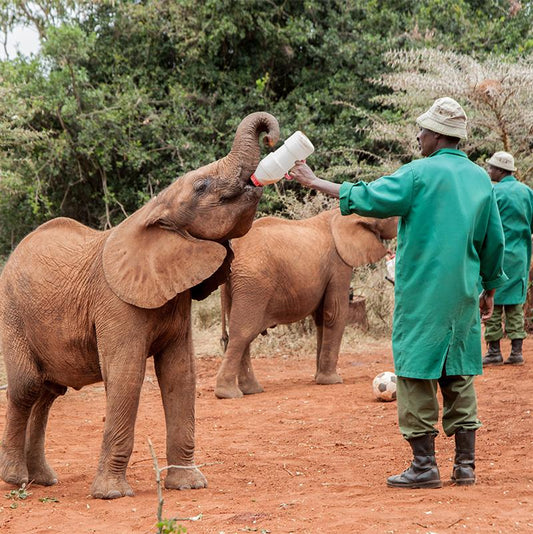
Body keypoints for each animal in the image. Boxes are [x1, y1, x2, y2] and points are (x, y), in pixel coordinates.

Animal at [214, 207, 396, 400]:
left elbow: (321, 318)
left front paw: (318, 378)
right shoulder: (339, 263)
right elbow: (335, 313)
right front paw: (332, 381)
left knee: (242, 334)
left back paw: (251, 390)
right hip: (253, 285)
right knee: (243, 333)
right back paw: (228, 394)